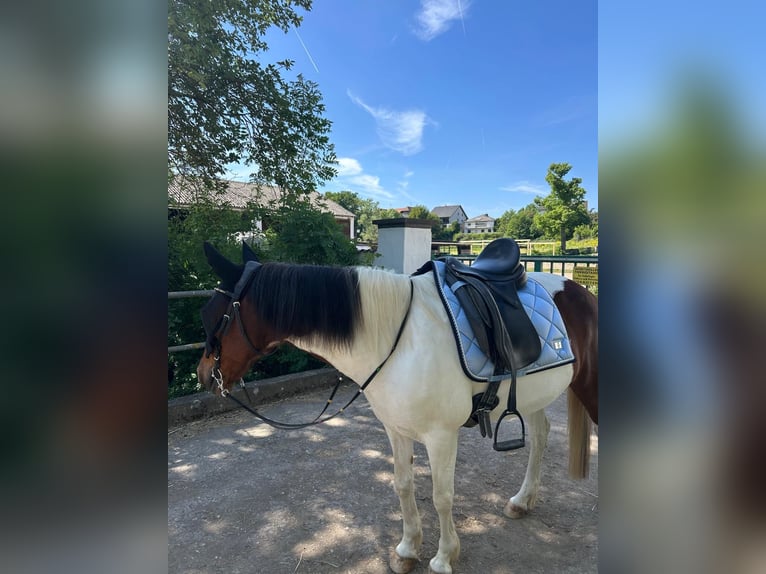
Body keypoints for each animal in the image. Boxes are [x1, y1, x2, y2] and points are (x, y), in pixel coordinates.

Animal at [196, 241, 598, 574]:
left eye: (213, 315)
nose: (202, 375)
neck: (396, 339)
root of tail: (580, 290)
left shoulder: (441, 437)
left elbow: (441, 496)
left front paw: (443, 557)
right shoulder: (395, 428)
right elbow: (403, 485)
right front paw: (407, 550)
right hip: (534, 394)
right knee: (542, 437)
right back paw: (522, 500)